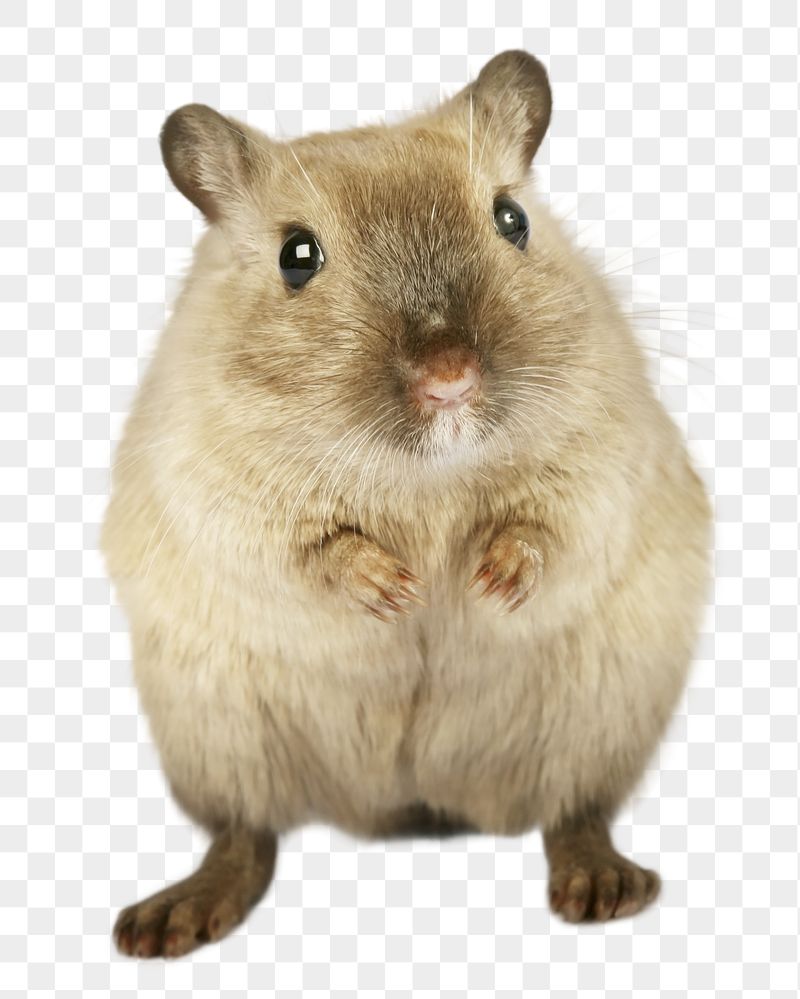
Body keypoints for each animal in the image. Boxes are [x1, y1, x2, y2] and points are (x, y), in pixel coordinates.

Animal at [103, 51, 711, 958]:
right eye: (296, 255)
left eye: (512, 218)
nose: (450, 377)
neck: (426, 474)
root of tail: (413, 802)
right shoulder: (219, 493)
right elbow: (309, 550)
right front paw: (396, 590)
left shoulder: (607, 456)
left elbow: (552, 525)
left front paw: (488, 580)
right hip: (217, 734)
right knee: (244, 831)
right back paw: (169, 920)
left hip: (599, 717)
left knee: (575, 811)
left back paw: (602, 884)